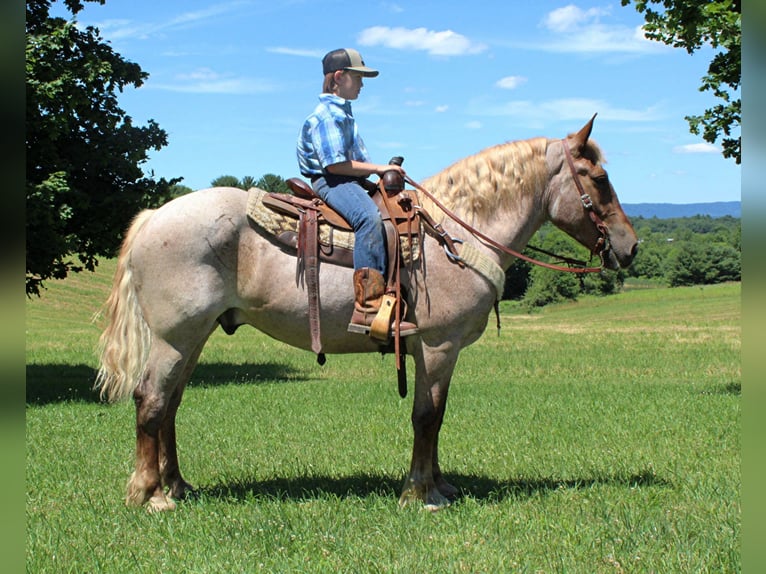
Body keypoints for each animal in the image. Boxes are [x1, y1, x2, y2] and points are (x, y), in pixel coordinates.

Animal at [96, 117, 640, 512]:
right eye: (598, 178)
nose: (630, 246)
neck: (457, 232)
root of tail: (155, 216)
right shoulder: (439, 345)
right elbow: (427, 416)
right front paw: (421, 494)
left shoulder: (433, 351)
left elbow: (436, 416)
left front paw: (439, 486)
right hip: (176, 336)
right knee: (150, 400)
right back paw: (150, 495)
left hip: (196, 334)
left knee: (170, 404)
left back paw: (177, 485)